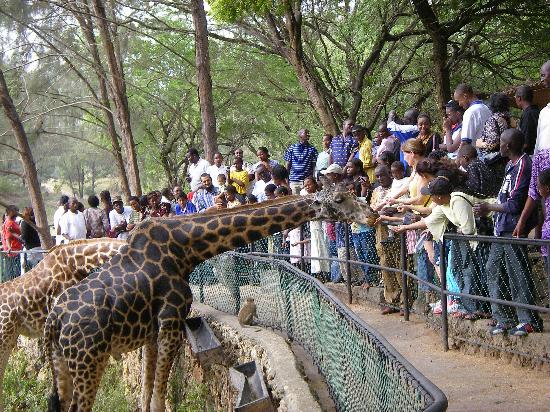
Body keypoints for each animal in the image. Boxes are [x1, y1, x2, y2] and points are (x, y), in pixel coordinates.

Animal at [47, 187, 376, 412]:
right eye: (338, 200)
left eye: (349, 192)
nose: (371, 214)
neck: (185, 251)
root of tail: (54, 319)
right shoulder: (171, 321)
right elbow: (157, 397)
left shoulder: (152, 331)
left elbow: (146, 395)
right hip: (88, 359)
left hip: (62, 361)